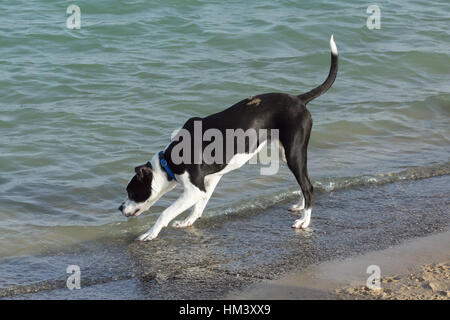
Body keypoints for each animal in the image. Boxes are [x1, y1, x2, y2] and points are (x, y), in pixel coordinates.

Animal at [119, 35, 338, 240]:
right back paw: (300, 206)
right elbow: (199, 206)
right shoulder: (210, 181)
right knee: (305, 182)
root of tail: (299, 100)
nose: (120, 208)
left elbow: (165, 212)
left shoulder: (194, 189)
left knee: (308, 186)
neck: (169, 162)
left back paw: (304, 221)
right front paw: (188, 221)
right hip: (287, 153)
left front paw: (150, 233)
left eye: (132, 192)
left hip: (293, 153)